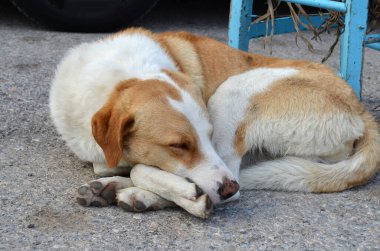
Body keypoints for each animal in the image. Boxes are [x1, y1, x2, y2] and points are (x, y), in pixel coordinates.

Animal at [49, 28, 380, 219]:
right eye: (179, 145)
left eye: (207, 135)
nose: (227, 188)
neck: (118, 80)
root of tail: (360, 109)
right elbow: (117, 165)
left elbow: (141, 168)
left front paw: (175, 192)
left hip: (231, 93)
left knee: (233, 182)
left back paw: (145, 195)